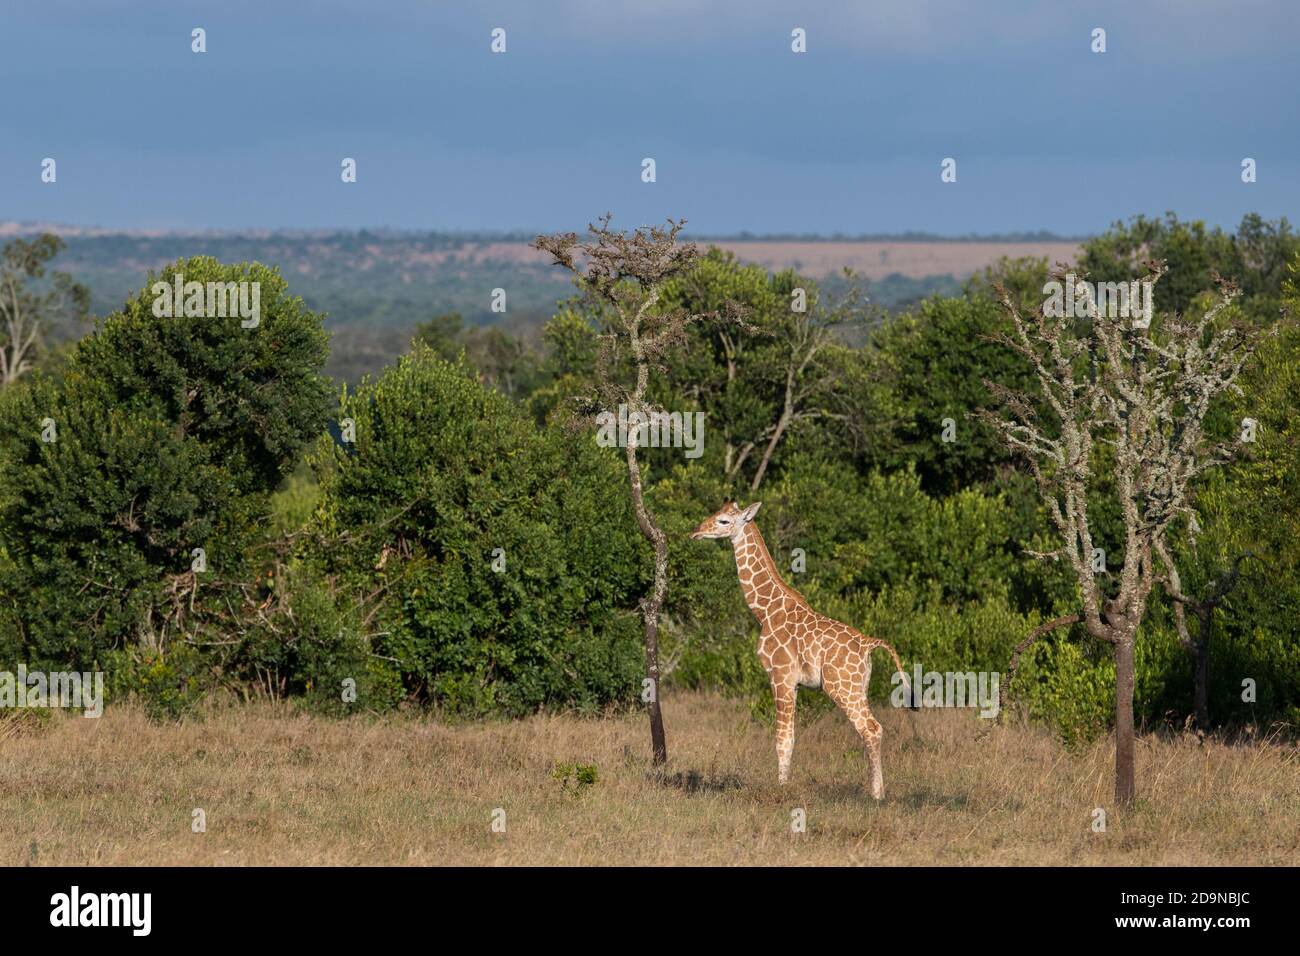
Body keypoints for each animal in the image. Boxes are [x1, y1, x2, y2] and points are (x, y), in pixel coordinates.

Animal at [691, 501, 914, 799]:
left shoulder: (780, 676)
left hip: (841, 687)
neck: (765, 612)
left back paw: (876, 794)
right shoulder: (793, 683)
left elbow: (782, 739)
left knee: (871, 728)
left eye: (724, 521)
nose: (696, 531)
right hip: (860, 687)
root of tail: (868, 644)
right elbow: (792, 737)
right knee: (873, 727)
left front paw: (782, 790)